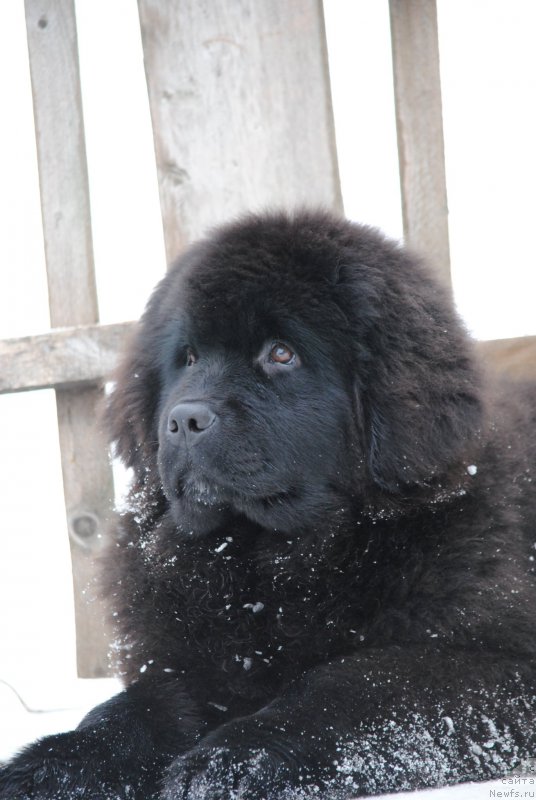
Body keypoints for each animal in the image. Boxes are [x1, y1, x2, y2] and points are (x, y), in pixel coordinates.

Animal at [1, 212, 536, 800]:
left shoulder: (493, 663)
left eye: (282, 353)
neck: (270, 568)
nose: (183, 420)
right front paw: (50, 765)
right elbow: (133, 709)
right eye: (188, 359)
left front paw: (230, 760)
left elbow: (345, 689)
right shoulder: (188, 657)